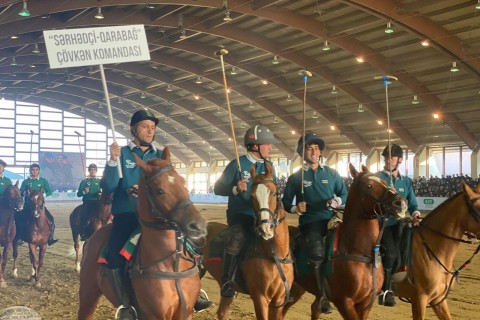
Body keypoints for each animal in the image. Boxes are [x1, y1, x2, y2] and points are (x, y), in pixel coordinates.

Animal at [78, 147, 207, 320]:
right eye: (160, 191)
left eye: (183, 182)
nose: (198, 225)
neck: (171, 265)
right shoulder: (154, 315)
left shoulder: (186, 313)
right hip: (87, 296)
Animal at [202, 162, 292, 320]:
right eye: (252, 196)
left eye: (275, 193)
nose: (266, 228)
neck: (275, 255)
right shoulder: (260, 298)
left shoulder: (278, 301)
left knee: (222, 312)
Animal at [284, 165, 406, 320]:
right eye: (369, 185)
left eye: (385, 182)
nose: (400, 203)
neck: (358, 252)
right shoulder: (344, 302)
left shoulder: (366, 303)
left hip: (297, 288)